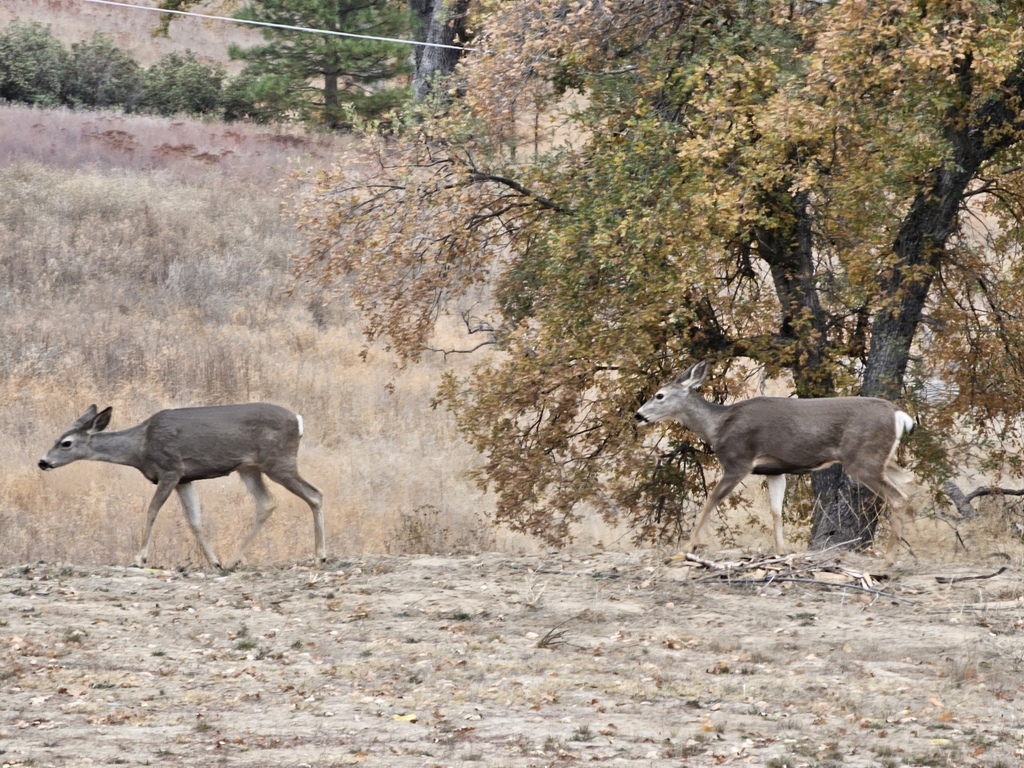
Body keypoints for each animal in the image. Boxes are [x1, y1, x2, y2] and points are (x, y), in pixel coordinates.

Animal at [39, 403, 323, 573]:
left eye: (65, 443)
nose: (42, 462)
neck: (140, 447)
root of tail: (298, 421)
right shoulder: (185, 479)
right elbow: (194, 520)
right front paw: (214, 561)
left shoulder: (170, 470)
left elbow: (152, 511)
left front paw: (140, 558)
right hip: (249, 467)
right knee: (266, 502)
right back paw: (232, 561)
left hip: (279, 461)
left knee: (315, 494)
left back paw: (320, 555)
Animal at [634, 360, 917, 565]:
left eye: (659, 395)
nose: (638, 415)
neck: (717, 426)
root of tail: (899, 414)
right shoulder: (774, 470)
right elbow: (776, 510)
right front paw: (781, 550)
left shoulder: (738, 461)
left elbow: (711, 500)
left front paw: (687, 546)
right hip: (879, 459)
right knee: (907, 481)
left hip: (863, 459)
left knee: (898, 497)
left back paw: (889, 560)